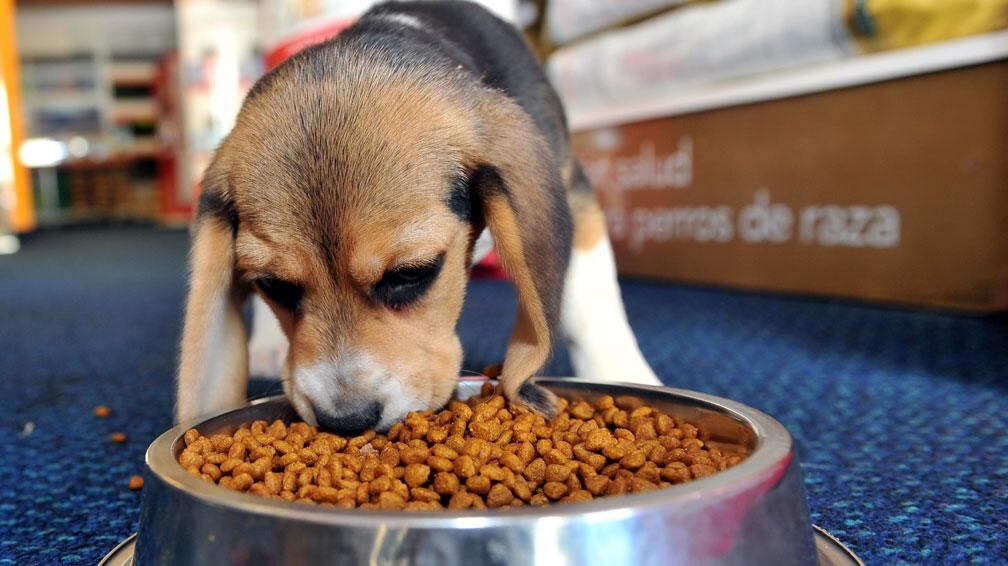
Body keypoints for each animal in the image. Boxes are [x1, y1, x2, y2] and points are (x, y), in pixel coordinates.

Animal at [176, 1, 657, 431]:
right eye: (274, 286)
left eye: (412, 272)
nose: (346, 422)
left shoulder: (574, 190)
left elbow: (592, 300)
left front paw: (622, 372)